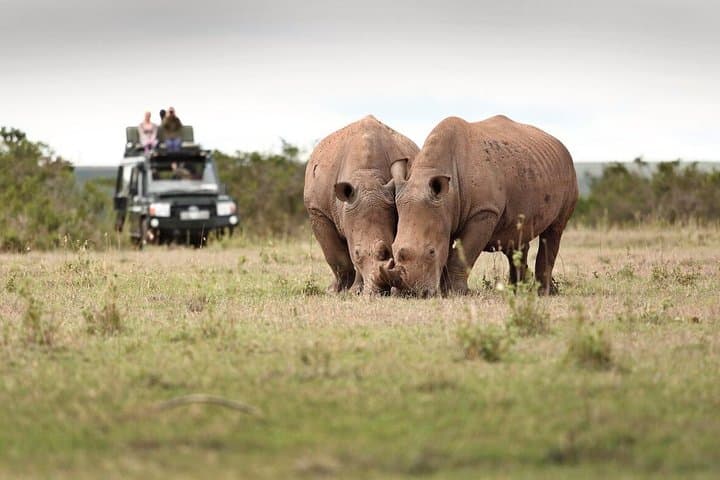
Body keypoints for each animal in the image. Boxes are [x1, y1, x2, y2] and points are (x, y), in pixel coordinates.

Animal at [304, 115, 419, 294]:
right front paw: (336, 291)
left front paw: (355, 291)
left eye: (386, 251)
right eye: (357, 253)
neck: (366, 177)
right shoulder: (318, 210)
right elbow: (337, 257)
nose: (379, 291)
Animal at [380, 115, 578, 297]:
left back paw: (544, 293)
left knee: (554, 230)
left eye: (431, 252)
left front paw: (456, 293)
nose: (409, 293)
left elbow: (463, 254)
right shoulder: (444, 213)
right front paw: (445, 292)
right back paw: (516, 291)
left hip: (567, 171)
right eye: (393, 248)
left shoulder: (484, 211)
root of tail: (560, 145)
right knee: (516, 236)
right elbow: (449, 251)